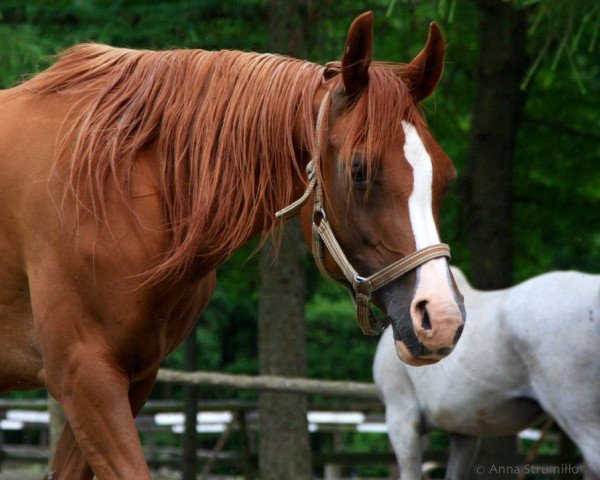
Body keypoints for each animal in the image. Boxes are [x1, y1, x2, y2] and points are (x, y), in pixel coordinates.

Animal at [0, 11, 464, 480]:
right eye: (359, 170)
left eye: (446, 177)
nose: (441, 317)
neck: (116, 185)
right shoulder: (85, 376)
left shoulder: (130, 378)